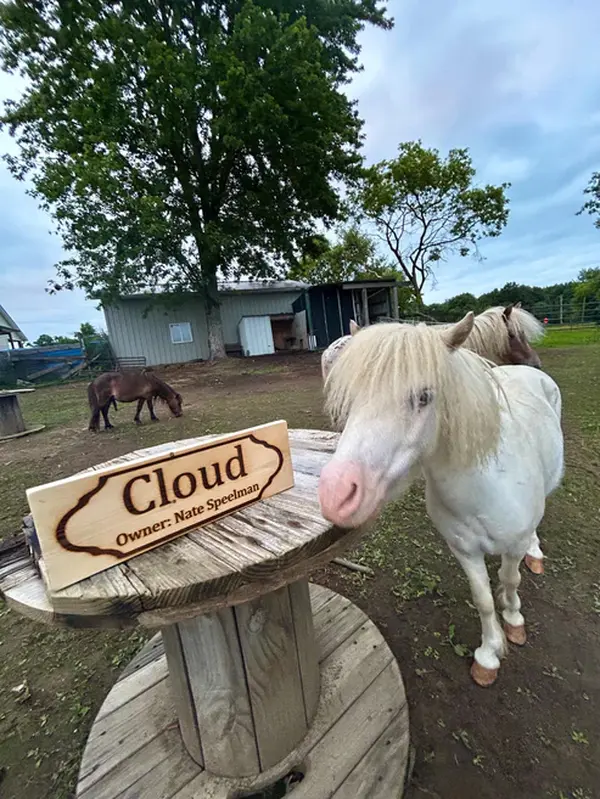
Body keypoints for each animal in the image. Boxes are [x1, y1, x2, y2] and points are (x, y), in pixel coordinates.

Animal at [318, 313, 564, 687]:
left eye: (424, 397)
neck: (483, 489)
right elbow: (483, 599)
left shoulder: (513, 545)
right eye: (352, 398)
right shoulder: (464, 550)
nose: (335, 493)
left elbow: (510, 581)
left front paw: (514, 621)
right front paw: (489, 654)